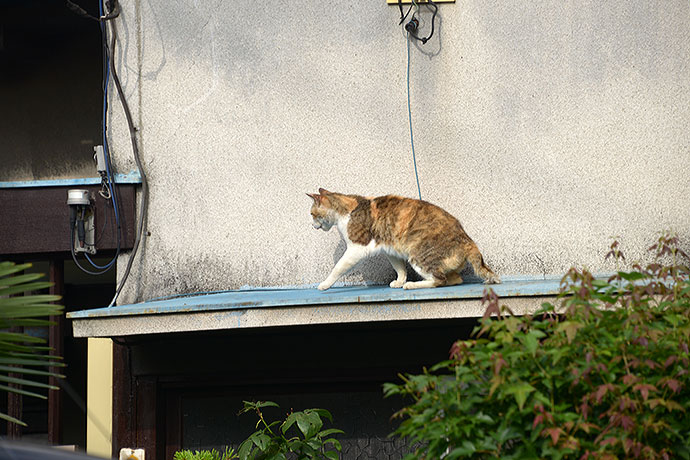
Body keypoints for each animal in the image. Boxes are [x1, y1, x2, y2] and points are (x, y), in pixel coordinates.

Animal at [308, 188, 500, 292]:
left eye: (312, 214)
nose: (312, 225)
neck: (347, 209)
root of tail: (469, 241)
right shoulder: (390, 249)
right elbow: (399, 268)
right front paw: (399, 281)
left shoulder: (356, 249)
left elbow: (337, 268)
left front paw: (324, 284)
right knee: (454, 279)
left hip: (418, 255)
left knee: (439, 280)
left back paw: (412, 285)